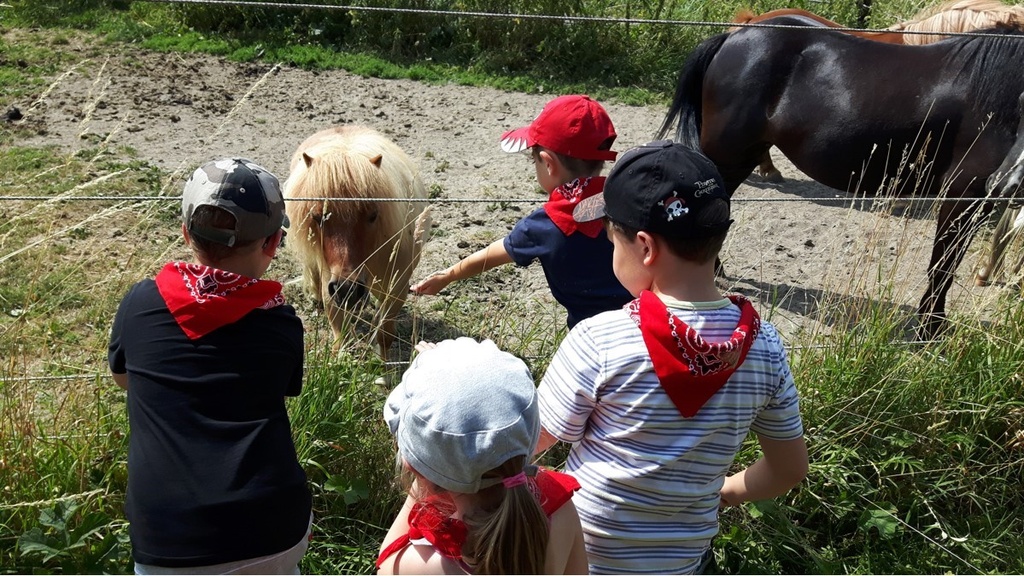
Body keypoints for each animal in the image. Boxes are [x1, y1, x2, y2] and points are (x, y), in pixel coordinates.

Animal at [284, 125, 432, 354]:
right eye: (317, 217)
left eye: (373, 215)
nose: (348, 289)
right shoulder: (332, 286)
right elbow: (341, 337)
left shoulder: (397, 288)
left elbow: (384, 334)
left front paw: (383, 363)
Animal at [659, 16, 1024, 336]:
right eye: (1021, 107)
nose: (1005, 185)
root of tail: (731, 38)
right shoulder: (963, 195)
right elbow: (943, 264)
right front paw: (930, 329)